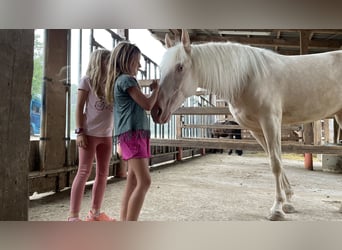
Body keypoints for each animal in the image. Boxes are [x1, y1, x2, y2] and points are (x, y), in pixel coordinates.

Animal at [152, 29, 342, 221]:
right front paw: (288, 201)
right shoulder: (257, 129)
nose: (157, 111)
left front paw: (277, 208)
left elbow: (276, 163)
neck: (247, 78)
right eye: (161, 68)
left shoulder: (270, 121)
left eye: (180, 67)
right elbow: (275, 160)